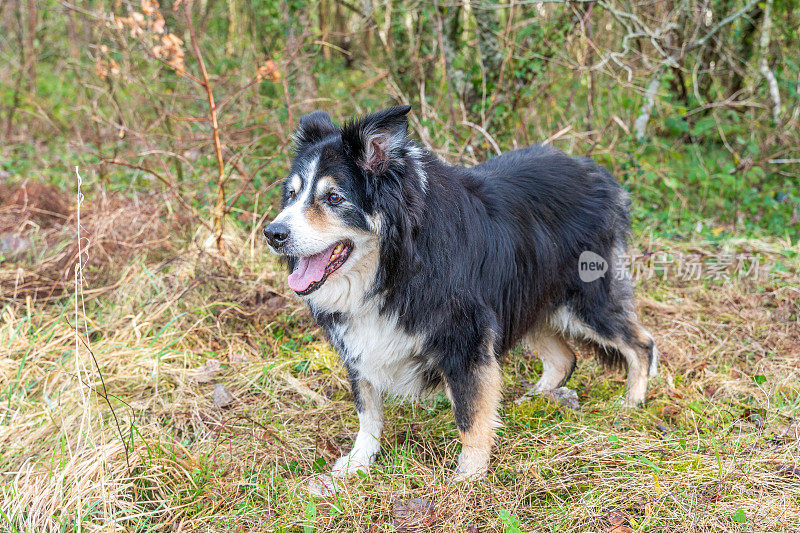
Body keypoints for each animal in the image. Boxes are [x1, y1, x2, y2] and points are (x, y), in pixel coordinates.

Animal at [262, 106, 656, 480]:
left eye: (333, 197)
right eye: (292, 195)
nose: (273, 233)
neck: (393, 265)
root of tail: (600, 174)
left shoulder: (466, 336)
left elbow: (468, 415)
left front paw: (469, 476)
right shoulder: (359, 341)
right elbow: (367, 409)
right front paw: (359, 462)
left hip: (587, 298)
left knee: (641, 342)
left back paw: (631, 404)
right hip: (525, 299)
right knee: (564, 358)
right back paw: (529, 402)